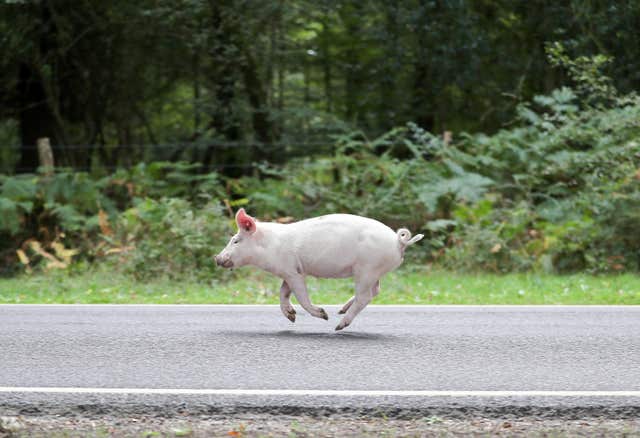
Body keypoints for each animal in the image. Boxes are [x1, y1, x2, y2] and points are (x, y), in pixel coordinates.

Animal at [218, 208, 422, 328]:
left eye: (235, 240)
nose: (217, 258)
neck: (269, 246)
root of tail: (398, 241)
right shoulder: (288, 272)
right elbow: (283, 293)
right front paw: (291, 318)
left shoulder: (293, 271)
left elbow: (301, 296)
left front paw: (323, 315)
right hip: (373, 271)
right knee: (375, 291)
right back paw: (341, 310)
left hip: (366, 269)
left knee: (365, 297)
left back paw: (338, 325)